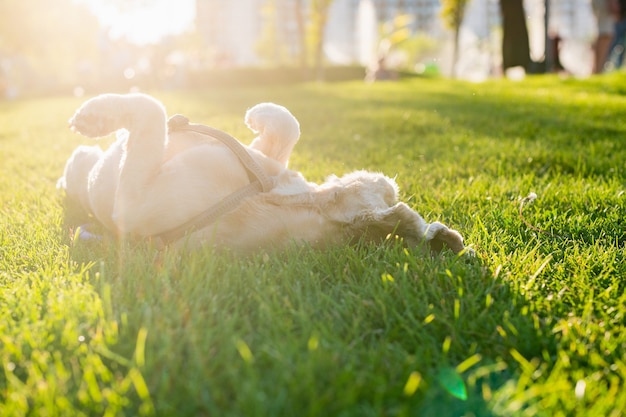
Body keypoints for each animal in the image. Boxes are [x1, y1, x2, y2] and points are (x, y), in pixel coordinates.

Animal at [58, 93, 470, 255]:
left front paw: (94, 115)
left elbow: (152, 108)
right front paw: (261, 114)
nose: (390, 181)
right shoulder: (264, 160)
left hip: (95, 180)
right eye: (388, 193)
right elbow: (288, 126)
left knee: (81, 165)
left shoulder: (134, 203)